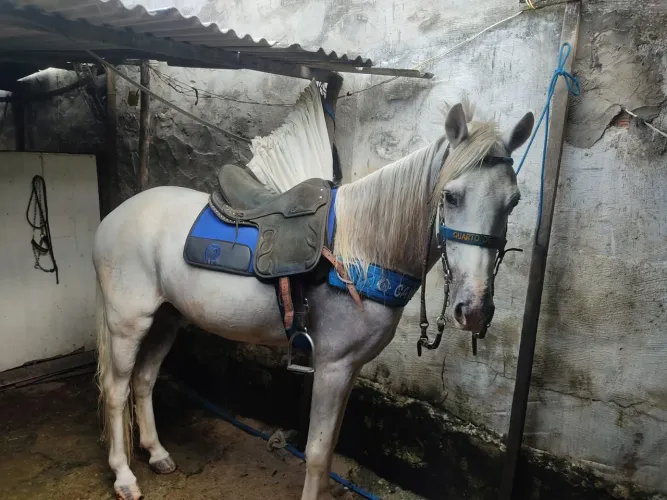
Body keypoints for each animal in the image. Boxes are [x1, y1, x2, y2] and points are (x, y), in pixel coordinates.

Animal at [93, 90, 534, 500]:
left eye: (514, 201)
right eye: (451, 196)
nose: (474, 309)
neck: (361, 253)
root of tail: (113, 217)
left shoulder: (350, 367)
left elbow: (331, 447)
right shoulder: (333, 365)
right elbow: (318, 453)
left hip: (167, 317)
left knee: (144, 380)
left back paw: (157, 453)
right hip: (127, 324)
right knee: (115, 390)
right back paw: (125, 477)